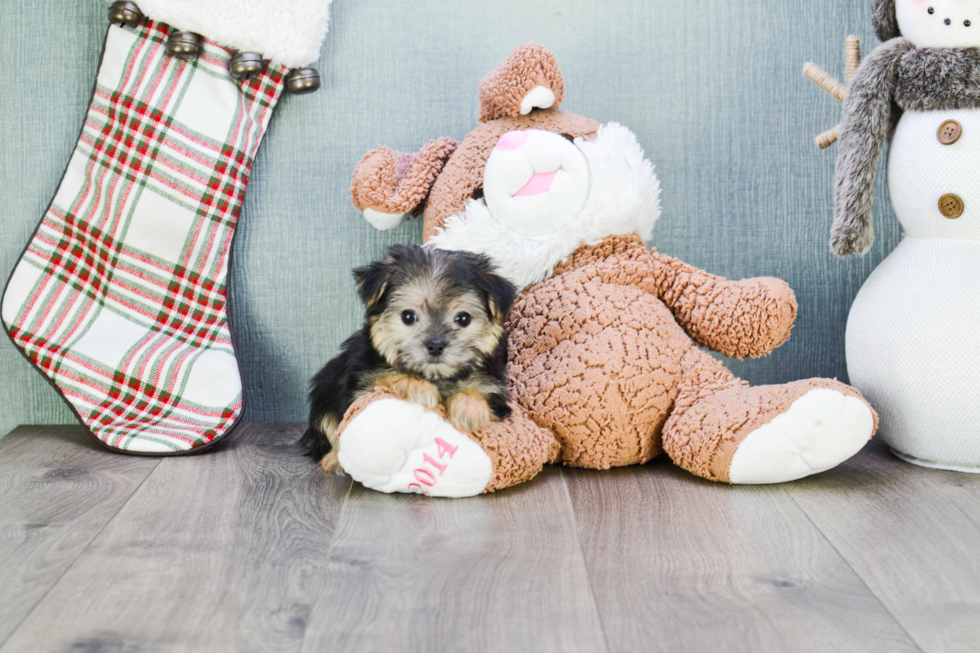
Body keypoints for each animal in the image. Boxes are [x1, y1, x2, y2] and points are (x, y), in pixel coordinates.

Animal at [304, 244, 520, 474]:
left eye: (463, 318)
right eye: (408, 316)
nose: (435, 345)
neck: (436, 376)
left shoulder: (496, 392)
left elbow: (480, 390)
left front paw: (469, 407)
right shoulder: (361, 382)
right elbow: (386, 374)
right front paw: (417, 386)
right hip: (325, 392)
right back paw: (335, 460)